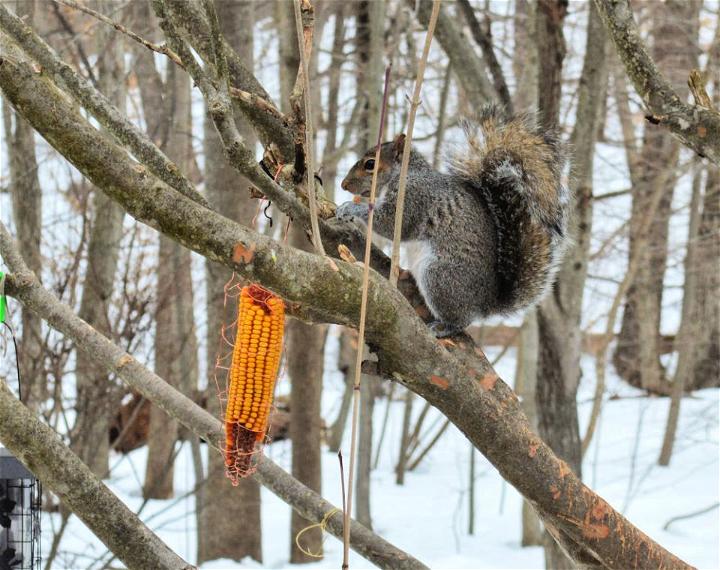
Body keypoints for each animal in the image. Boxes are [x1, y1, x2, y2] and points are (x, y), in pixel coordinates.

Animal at [336, 104, 568, 336]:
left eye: (370, 164)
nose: (343, 185)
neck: (404, 175)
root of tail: (486, 305)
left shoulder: (415, 196)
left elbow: (391, 224)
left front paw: (350, 208)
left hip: (439, 276)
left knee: (461, 321)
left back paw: (444, 327)